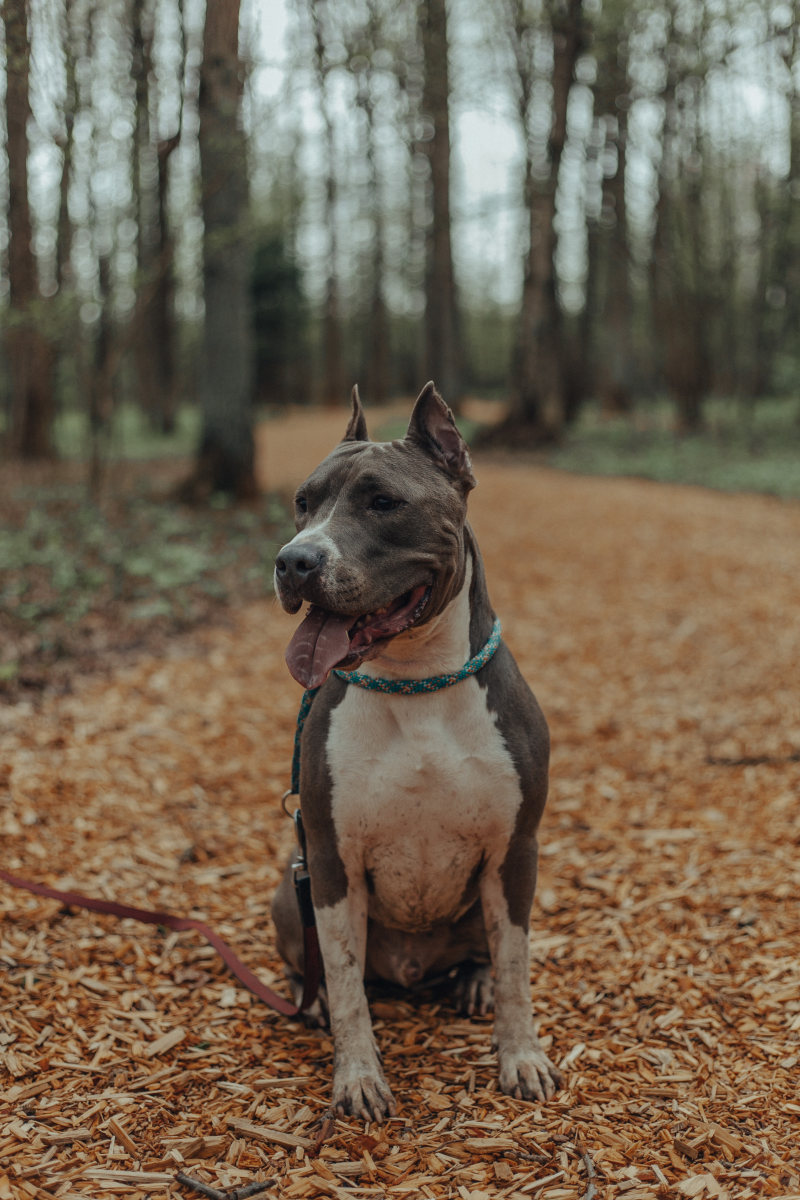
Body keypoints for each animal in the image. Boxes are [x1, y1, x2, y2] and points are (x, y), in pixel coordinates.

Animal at [272, 386, 561, 1123]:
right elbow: (346, 982)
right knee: (316, 966)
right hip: (290, 887)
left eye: (384, 502)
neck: (417, 681)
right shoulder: (330, 857)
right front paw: (357, 1076)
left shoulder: (516, 850)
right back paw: (311, 999)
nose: (293, 560)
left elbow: (516, 967)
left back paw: (472, 982)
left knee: (484, 953)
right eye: (303, 502)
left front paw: (520, 1055)